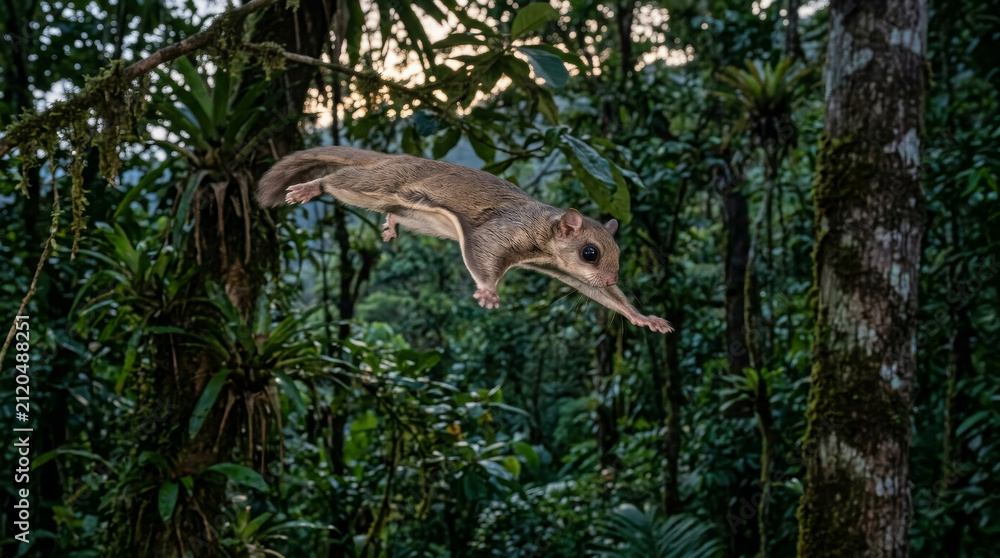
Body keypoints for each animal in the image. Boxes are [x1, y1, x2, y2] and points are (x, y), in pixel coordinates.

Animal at [256, 146, 672, 334]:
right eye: (590, 252)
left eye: (617, 253)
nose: (613, 277)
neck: (542, 230)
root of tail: (390, 157)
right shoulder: (499, 233)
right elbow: (482, 255)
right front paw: (488, 292)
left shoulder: (556, 268)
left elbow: (603, 297)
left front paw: (644, 317)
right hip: (378, 184)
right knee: (337, 181)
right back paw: (310, 187)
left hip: (414, 213)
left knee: (393, 210)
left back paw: (390, 224)